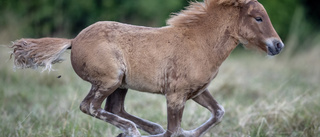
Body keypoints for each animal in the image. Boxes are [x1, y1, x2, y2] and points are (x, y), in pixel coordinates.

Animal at [11, 0, 284, 136]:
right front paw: (172, 132)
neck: (200, 42)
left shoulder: (196, 91)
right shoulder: (175, 95)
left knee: (114, 108)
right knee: (89, 106)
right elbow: (174, 131)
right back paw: (133, 131)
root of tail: (73, 40)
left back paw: (148, 129)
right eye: (258, 18)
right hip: (109, 80)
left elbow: (218, 112)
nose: (278, 45)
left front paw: (187, 133)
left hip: (121, 84)